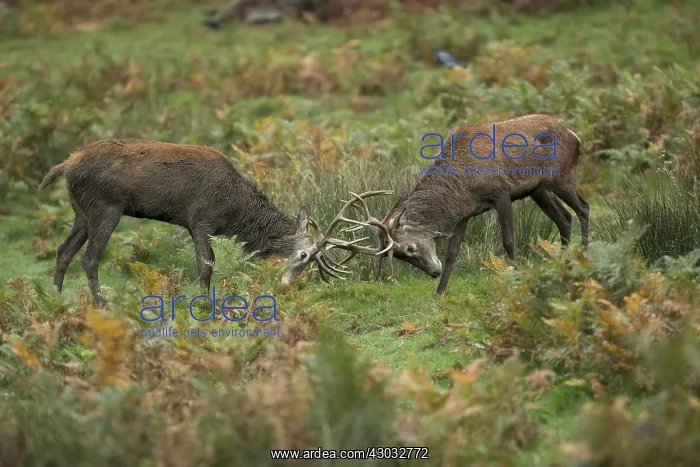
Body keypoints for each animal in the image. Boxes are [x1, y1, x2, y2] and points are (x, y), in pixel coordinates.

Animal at [37, 139, 392, 308]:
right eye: (304, 255)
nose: (285, 286)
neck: (235, 212)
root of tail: (66, 165)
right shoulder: (200, 220)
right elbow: (205, 265)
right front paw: (204, 304)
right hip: (106, 207)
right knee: (89, 258)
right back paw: (100, 304)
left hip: (82, 211)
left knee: (63, 251)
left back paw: (56, 298)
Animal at [347, 114, 590, 295]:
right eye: (400, 257)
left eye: (410, 248)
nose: (433, 273)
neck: (464, 187)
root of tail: (576, 136)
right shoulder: (466, 212)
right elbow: (452, 251)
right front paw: (440, 292)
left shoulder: (501, 193)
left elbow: (509, 241)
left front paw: (515, 280)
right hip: (538, 189)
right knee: (564, 217)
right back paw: (563, 263)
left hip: (561, 176)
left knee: (583, 207)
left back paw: (584, 255)